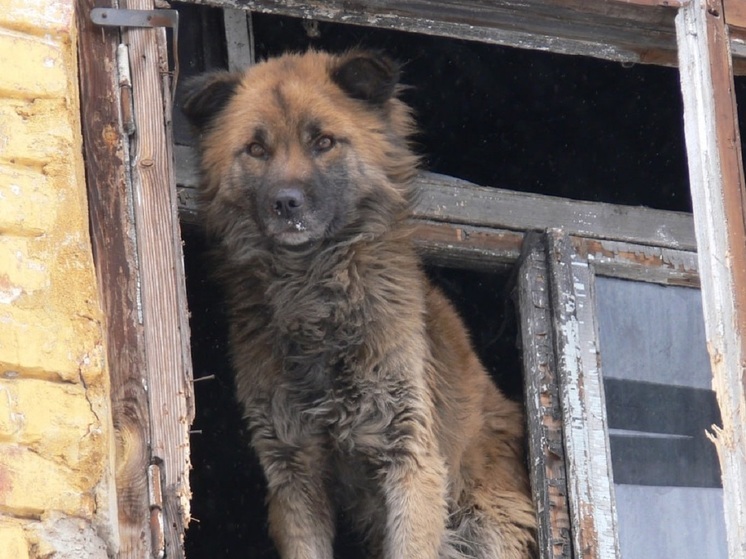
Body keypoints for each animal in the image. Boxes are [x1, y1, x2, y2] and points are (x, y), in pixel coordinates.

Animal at [182, 49, 532, 559]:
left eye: (324, 141)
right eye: (256, 149)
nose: (285, 203)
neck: (313, 291)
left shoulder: (410, 455)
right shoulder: (293, 470)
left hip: (489, 526)